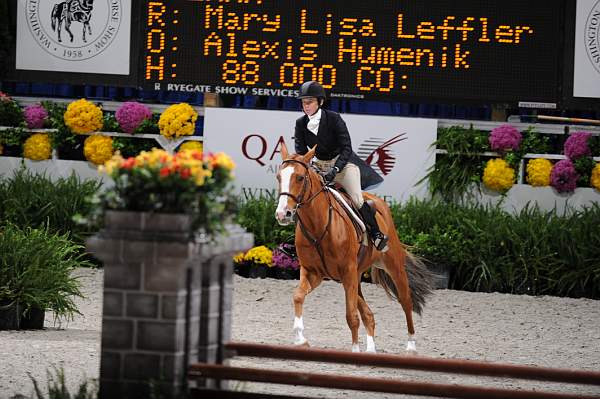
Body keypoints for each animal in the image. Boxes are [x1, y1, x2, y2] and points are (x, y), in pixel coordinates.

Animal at [274, 145, 434, 354]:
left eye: (300, 177)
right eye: (279, 177)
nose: (282, 214)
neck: (319, 225)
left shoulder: (347, 272)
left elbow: (351, 316)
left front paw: (355, 351)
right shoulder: (313, 272)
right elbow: (298, 296)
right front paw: (301, 340)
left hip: (392, 267)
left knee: (406, 301)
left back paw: (411, 346)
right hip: (355, 277)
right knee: (368, 313)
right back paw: (371, 350)